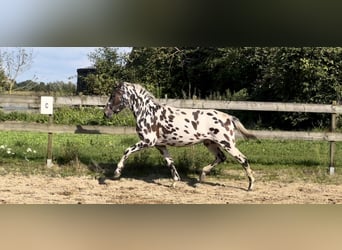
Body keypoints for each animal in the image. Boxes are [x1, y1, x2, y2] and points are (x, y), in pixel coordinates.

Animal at [104, 83, 256, 190]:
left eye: (113, 95)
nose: (106, 113)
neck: (148, 112)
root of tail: (229, 117)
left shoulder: (148, 141)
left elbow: (126, 151)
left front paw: (117, 173)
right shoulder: (160, 145)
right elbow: (169, 162)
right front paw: (175, 183)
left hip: (227, 143)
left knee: (243, 159)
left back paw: (250, 185)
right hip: (210, 143)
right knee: (221, 157)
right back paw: (201, 176)